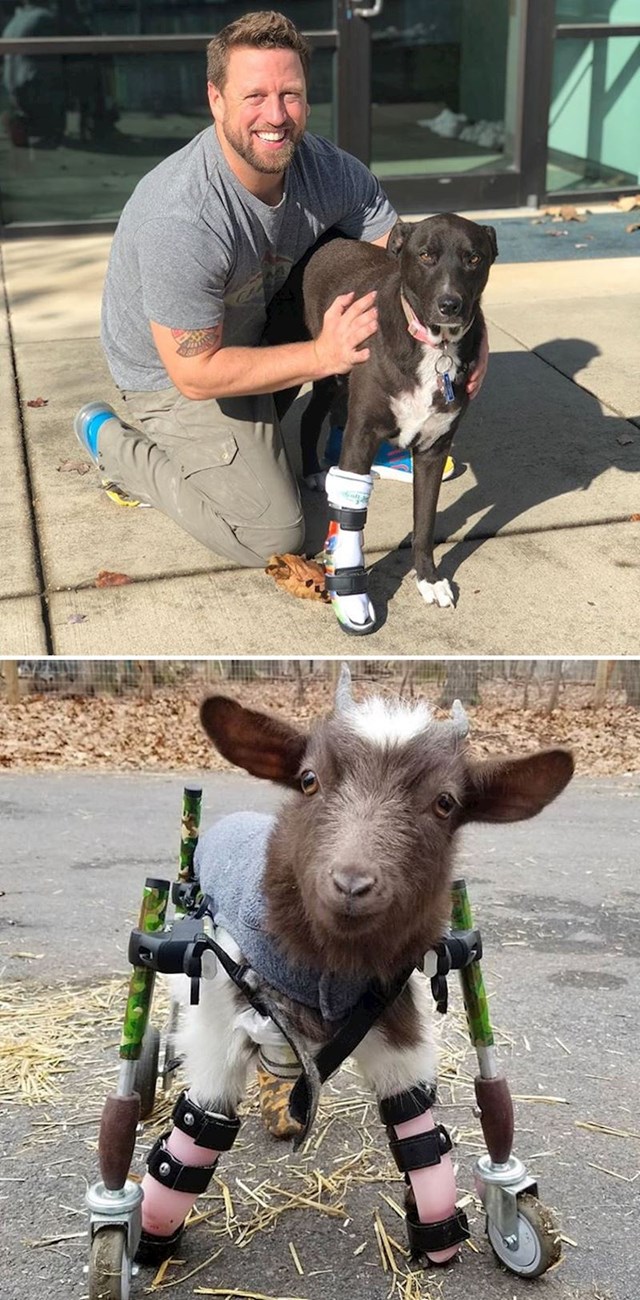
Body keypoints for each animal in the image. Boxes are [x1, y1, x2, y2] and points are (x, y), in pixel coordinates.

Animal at [135, 670, 574, 1268]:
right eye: (309, 780)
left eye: (445, 802)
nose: (351, 884)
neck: (329, 967)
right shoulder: (220, 1018)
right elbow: (200, 1127)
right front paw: (143, 1237)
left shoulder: (394, 1017)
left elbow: (417, 1130)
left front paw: (451, 1236)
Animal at [303, 214, 496, 613]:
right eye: (425, 255)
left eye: (474, 258)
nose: (450, 304)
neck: (436, 346)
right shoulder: (362, 435)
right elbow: (351, 515)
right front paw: (349, 587)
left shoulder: (434, 450)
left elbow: (424, 522)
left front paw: (428, 579)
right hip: (326, 369)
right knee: (308, 417)